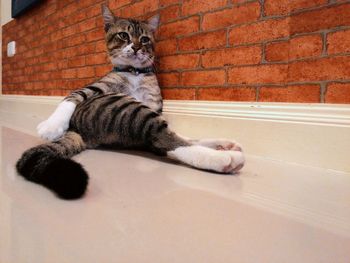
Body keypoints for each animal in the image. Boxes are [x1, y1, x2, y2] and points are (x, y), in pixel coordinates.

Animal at [15, 4, 243, 200]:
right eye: (123, 35)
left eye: (144, 39)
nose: (136, 47)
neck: (135, 73)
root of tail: (78, 129)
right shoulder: (96, 87)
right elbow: (70, 97)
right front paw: (51, 126)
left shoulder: (155, 104)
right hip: (124, 107)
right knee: (165, 139)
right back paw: (224, 159)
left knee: (170, 138)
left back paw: (222, 145)